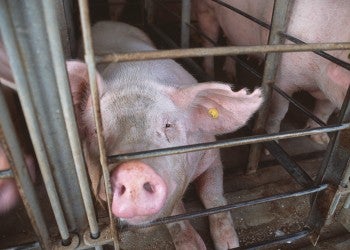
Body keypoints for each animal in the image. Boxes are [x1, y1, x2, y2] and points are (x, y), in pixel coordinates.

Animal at [67, 22, 262, 250]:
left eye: (168, 125)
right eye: (96, 131)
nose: (133, 170)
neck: (136, 78)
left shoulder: (211, 156)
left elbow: (212, 194)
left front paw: (229, 244)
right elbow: (174, 213)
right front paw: (193, 247)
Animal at [194, 0, 350, 145]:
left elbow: (324, 111)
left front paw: (323, 140)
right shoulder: (282, 79)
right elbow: (279, 111)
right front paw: (272, 142)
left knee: (231, 42)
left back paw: (231, 76)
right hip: (205, 8)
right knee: (209, 43)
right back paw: (210, 74)